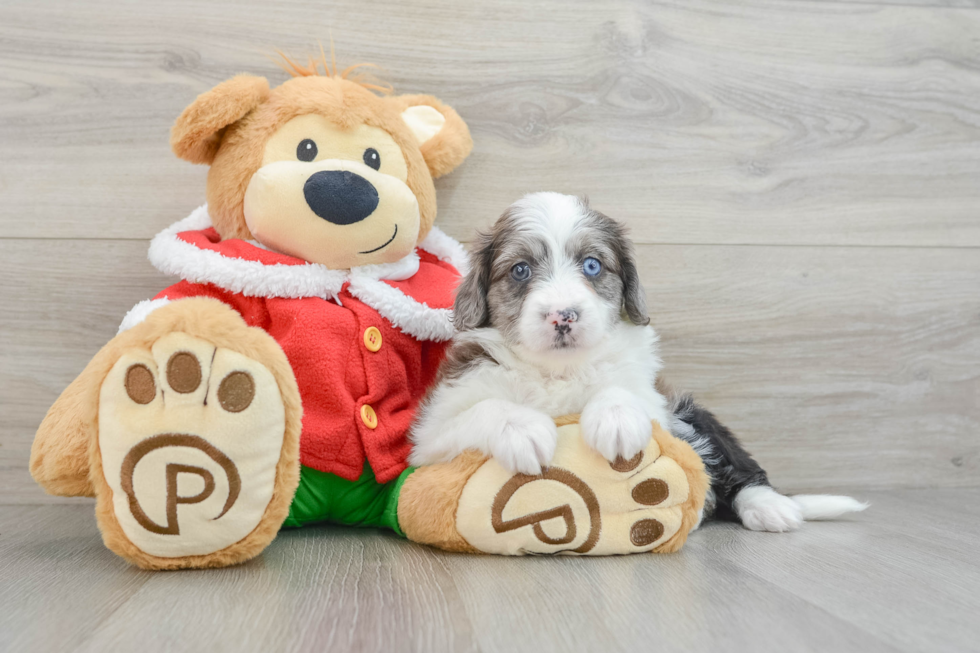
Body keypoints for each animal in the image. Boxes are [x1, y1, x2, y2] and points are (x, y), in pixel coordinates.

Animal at [408, 192, 864, 528]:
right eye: (520, 270)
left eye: (593, 265)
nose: (563, 315)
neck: (558, 372)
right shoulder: (431, 436)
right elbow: (484, 409)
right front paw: (523, 430)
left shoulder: (658, 404)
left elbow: (622, 391)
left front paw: (616, 420)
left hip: (694, 413)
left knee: (738, 466)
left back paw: (771, 508)